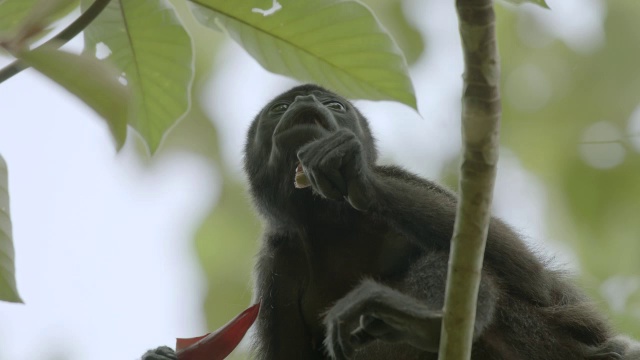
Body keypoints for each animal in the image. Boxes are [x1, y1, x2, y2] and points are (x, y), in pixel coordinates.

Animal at [142, 85, 636, 360]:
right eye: (279, 110)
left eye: (334, 104)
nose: (304, 100)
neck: (332, 223)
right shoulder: (276, 262)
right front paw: (162, 356)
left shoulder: (403, 178)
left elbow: (532, 280)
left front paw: (353, 173)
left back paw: (421, 319)